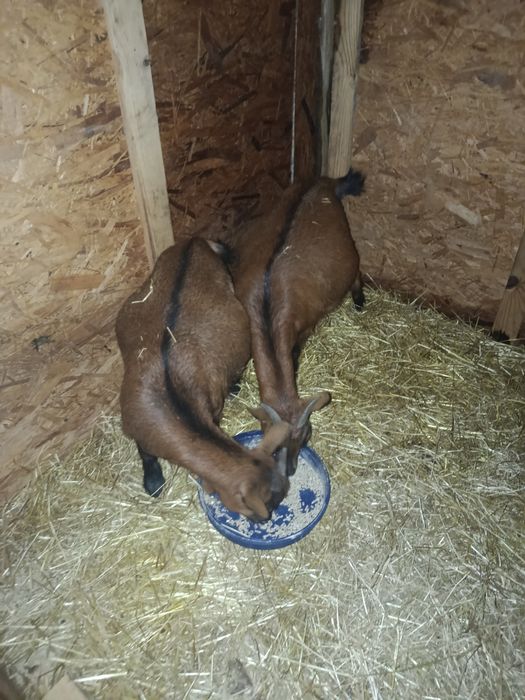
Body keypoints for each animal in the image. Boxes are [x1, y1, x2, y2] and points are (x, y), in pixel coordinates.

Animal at [115, 237, 291, 520]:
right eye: (269, 502)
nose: (265, 519)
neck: (174, 403)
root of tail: (194, 242)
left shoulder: (212, 408)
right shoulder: (135, 427)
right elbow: (146, 455)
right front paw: (153, 483)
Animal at [227, 168, 365, 476]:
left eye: (306, 436)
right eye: (269, 437)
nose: (289, 470)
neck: (268, 304)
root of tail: (325, 182)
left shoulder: (303, 329)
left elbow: (294, 358)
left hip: (348, 250)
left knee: (357, 270)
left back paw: (360, 301)